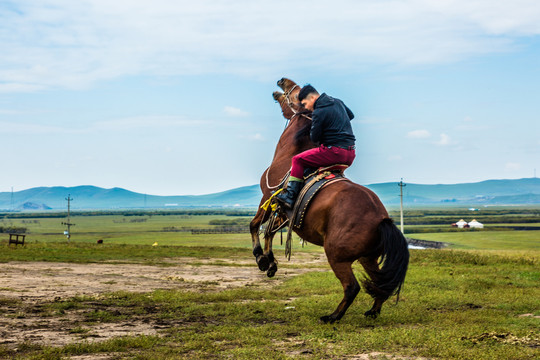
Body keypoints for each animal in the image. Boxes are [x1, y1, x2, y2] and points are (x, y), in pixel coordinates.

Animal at [250, 77, 410, 322]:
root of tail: (381, 219)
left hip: (337, 255)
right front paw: (270, 263)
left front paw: (261, 258)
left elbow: (256, 225)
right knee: (379, 283)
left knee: (352, 286)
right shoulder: (283, 211)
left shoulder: (268, 198)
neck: (288, 157)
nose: (282, 81)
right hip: (368, 258)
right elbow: (269, 232)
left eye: (296, 94)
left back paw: (332, 316)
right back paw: (372, 311)